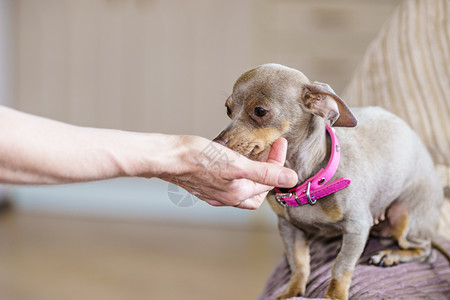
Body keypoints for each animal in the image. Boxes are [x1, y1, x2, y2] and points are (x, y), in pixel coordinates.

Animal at [214, 63, 442, 300]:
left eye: (260, 111)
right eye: (228, 109)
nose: (217, 143)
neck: (308, 180)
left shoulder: (357, 227)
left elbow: (341, 266)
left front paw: (334, 295)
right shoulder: (289, 227)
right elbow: (299, 263)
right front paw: (292, 291)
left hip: (405, 216)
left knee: (425, 251)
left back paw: (389, 256)